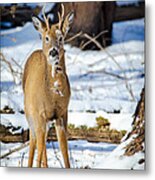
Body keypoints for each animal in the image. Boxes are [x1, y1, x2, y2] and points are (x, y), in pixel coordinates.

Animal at [22, 3, 74, 167]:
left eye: (61, 38)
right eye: (46, 38)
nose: (53, 52)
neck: (53, 94)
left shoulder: (62, 113)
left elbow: (65, 153)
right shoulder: (39, 113)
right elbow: (39, 152)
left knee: (42, 144)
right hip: (29, 111)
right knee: (34, 142)